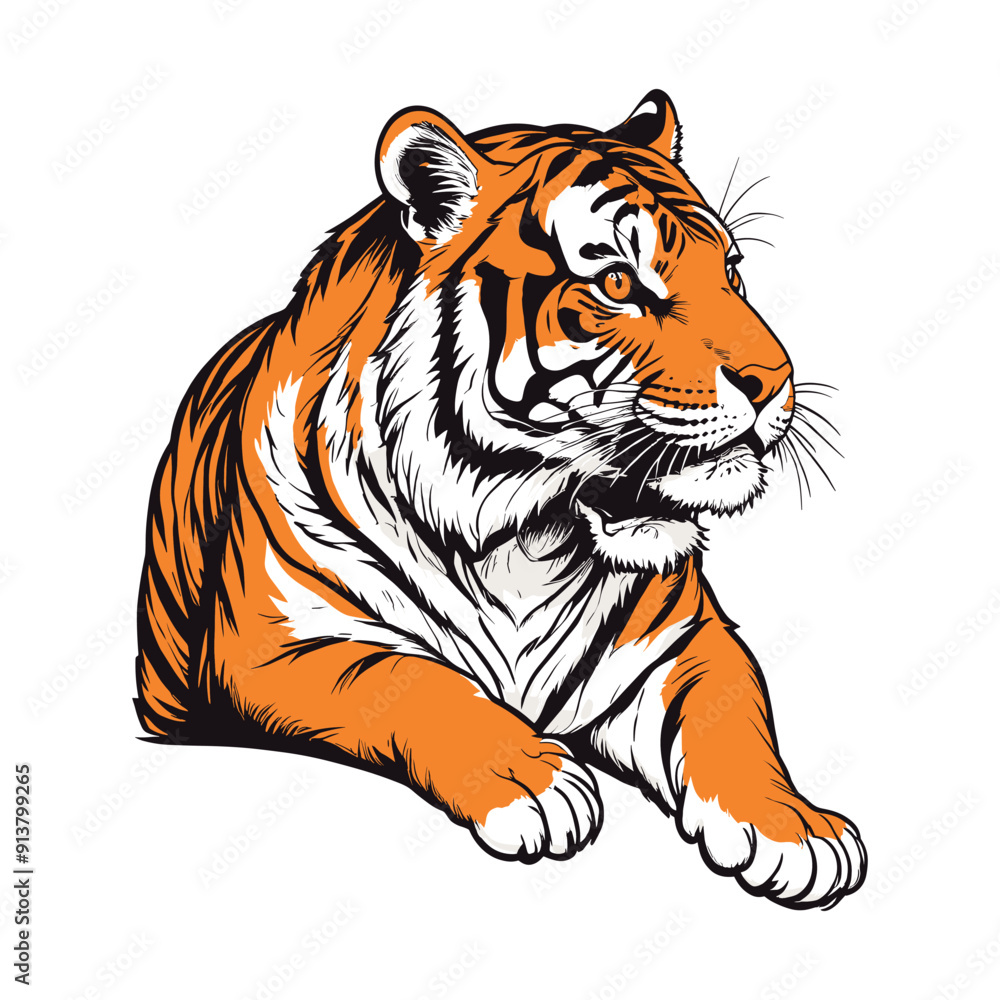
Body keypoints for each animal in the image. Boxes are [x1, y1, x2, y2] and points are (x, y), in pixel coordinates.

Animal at [135, 89, 866, 909]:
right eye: (618, 285)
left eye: (731, 271)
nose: (775, 380)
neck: (527, 535)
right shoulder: (272, 646)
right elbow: (413, 680)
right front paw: (537, 782)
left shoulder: (683, 641)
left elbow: (734, 716)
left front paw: (794, 829)